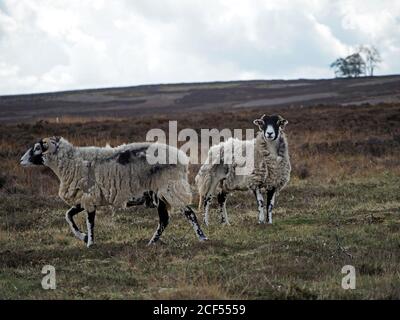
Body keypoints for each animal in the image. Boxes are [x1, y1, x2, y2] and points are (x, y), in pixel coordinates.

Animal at [19, 136, 208, 246]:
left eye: (37, 148)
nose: (21, 160)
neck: (70, 162)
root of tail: (182, 158)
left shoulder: (89, 198)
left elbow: (90, 222)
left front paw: (90, 243)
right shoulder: (84, 199)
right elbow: (68, 216)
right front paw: (83, 237)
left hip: (170, 189)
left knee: (188, 213)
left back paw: (202, 238)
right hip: (160, 195)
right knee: (164, 220)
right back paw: (151, 243)